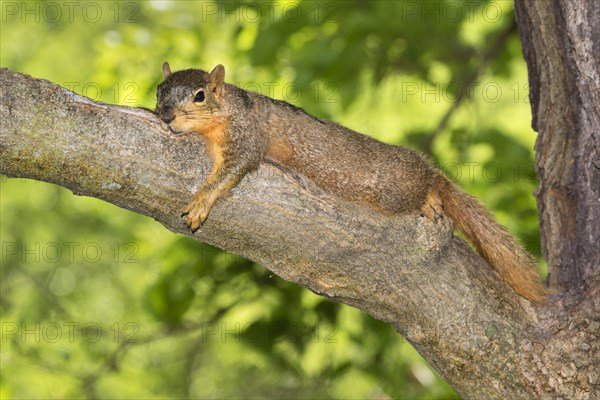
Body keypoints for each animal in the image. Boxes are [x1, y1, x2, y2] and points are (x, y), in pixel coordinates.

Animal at [156, 61, 548, 302]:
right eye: (159, 90)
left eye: (200, 95)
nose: (166, 115)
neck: (224, 113)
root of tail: (424, 167)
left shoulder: (246, 138)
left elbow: (232, 169)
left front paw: (201, 200)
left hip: (395, 190)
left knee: (427, 189)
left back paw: (431, 198)